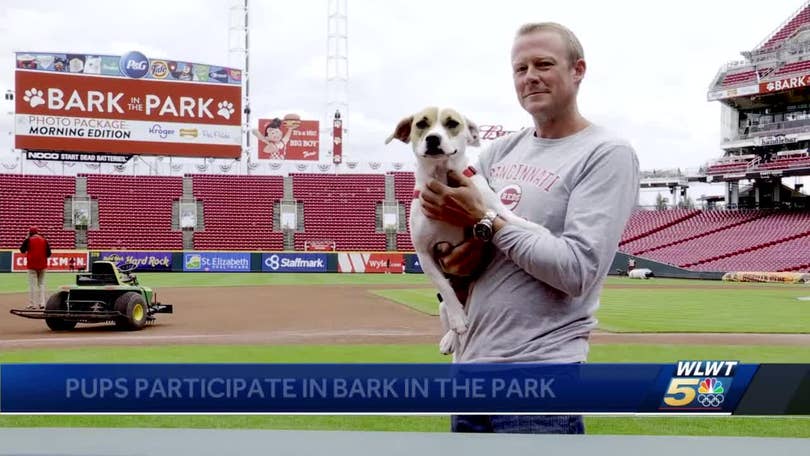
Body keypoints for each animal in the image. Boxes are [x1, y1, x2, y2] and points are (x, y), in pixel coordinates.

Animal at [386, 108, 544, 356]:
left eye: (452, 123)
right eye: (421, 124)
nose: (433, 138)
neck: (442, 177)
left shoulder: (495, 208)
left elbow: (513, 220)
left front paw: (541, 231)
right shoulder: (424, 253)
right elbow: (444, 287)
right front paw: (459, 320)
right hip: (441, 304)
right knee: (448, 308)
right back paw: (451, 336)